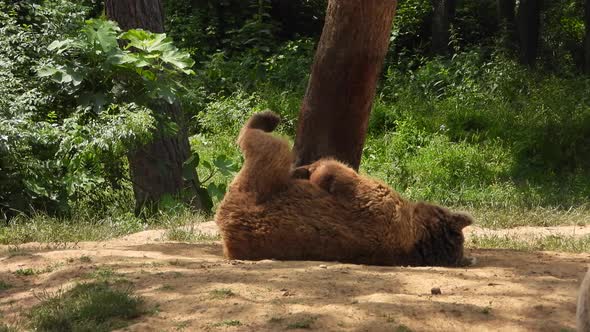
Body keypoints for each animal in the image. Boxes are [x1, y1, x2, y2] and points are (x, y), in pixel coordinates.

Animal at [217, 111, 476, 268]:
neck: (415, 233)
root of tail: (228, 226)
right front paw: (305, 170)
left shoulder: (375, 197)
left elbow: (333, 171)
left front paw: (310, 169)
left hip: (257, 181)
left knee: (264, 144)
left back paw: (266, 119)